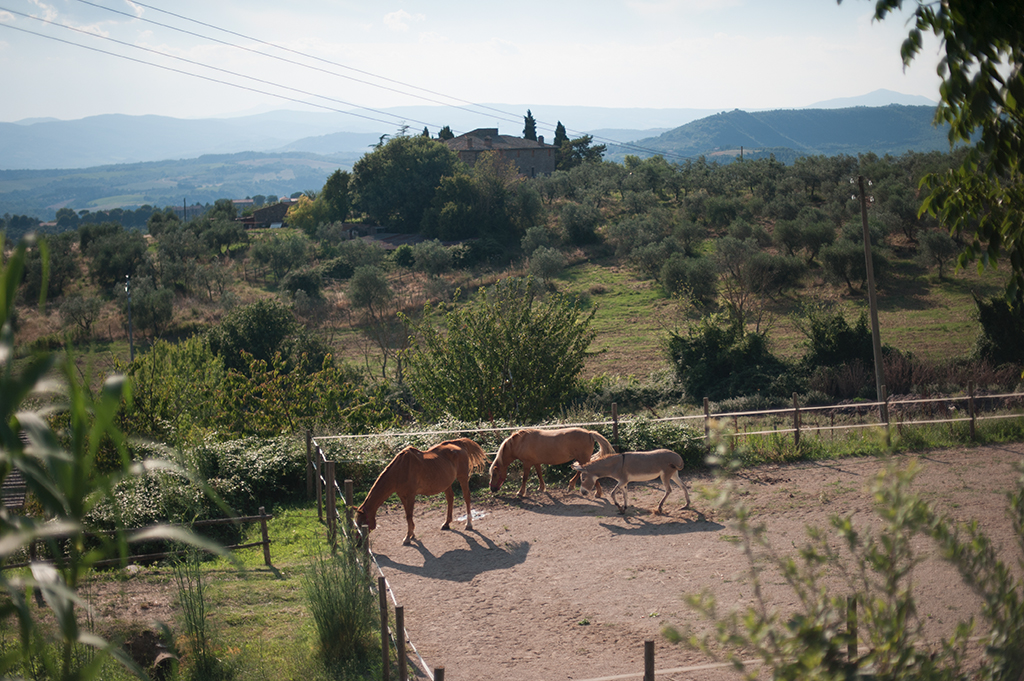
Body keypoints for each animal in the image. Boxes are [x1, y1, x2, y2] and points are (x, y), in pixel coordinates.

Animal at [356, 438, 487, 544]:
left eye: (362, 523)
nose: (358, 543)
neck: (400, 469)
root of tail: (457, 444)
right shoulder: (402, 496)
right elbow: (407, 515)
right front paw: (411, 534)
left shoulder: (411, 495)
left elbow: (409, 515)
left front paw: (407, 537)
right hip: (447, 483)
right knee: (450, 498)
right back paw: (446, 523)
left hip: (462, 477)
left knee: (466, 497)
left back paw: (469, 524)